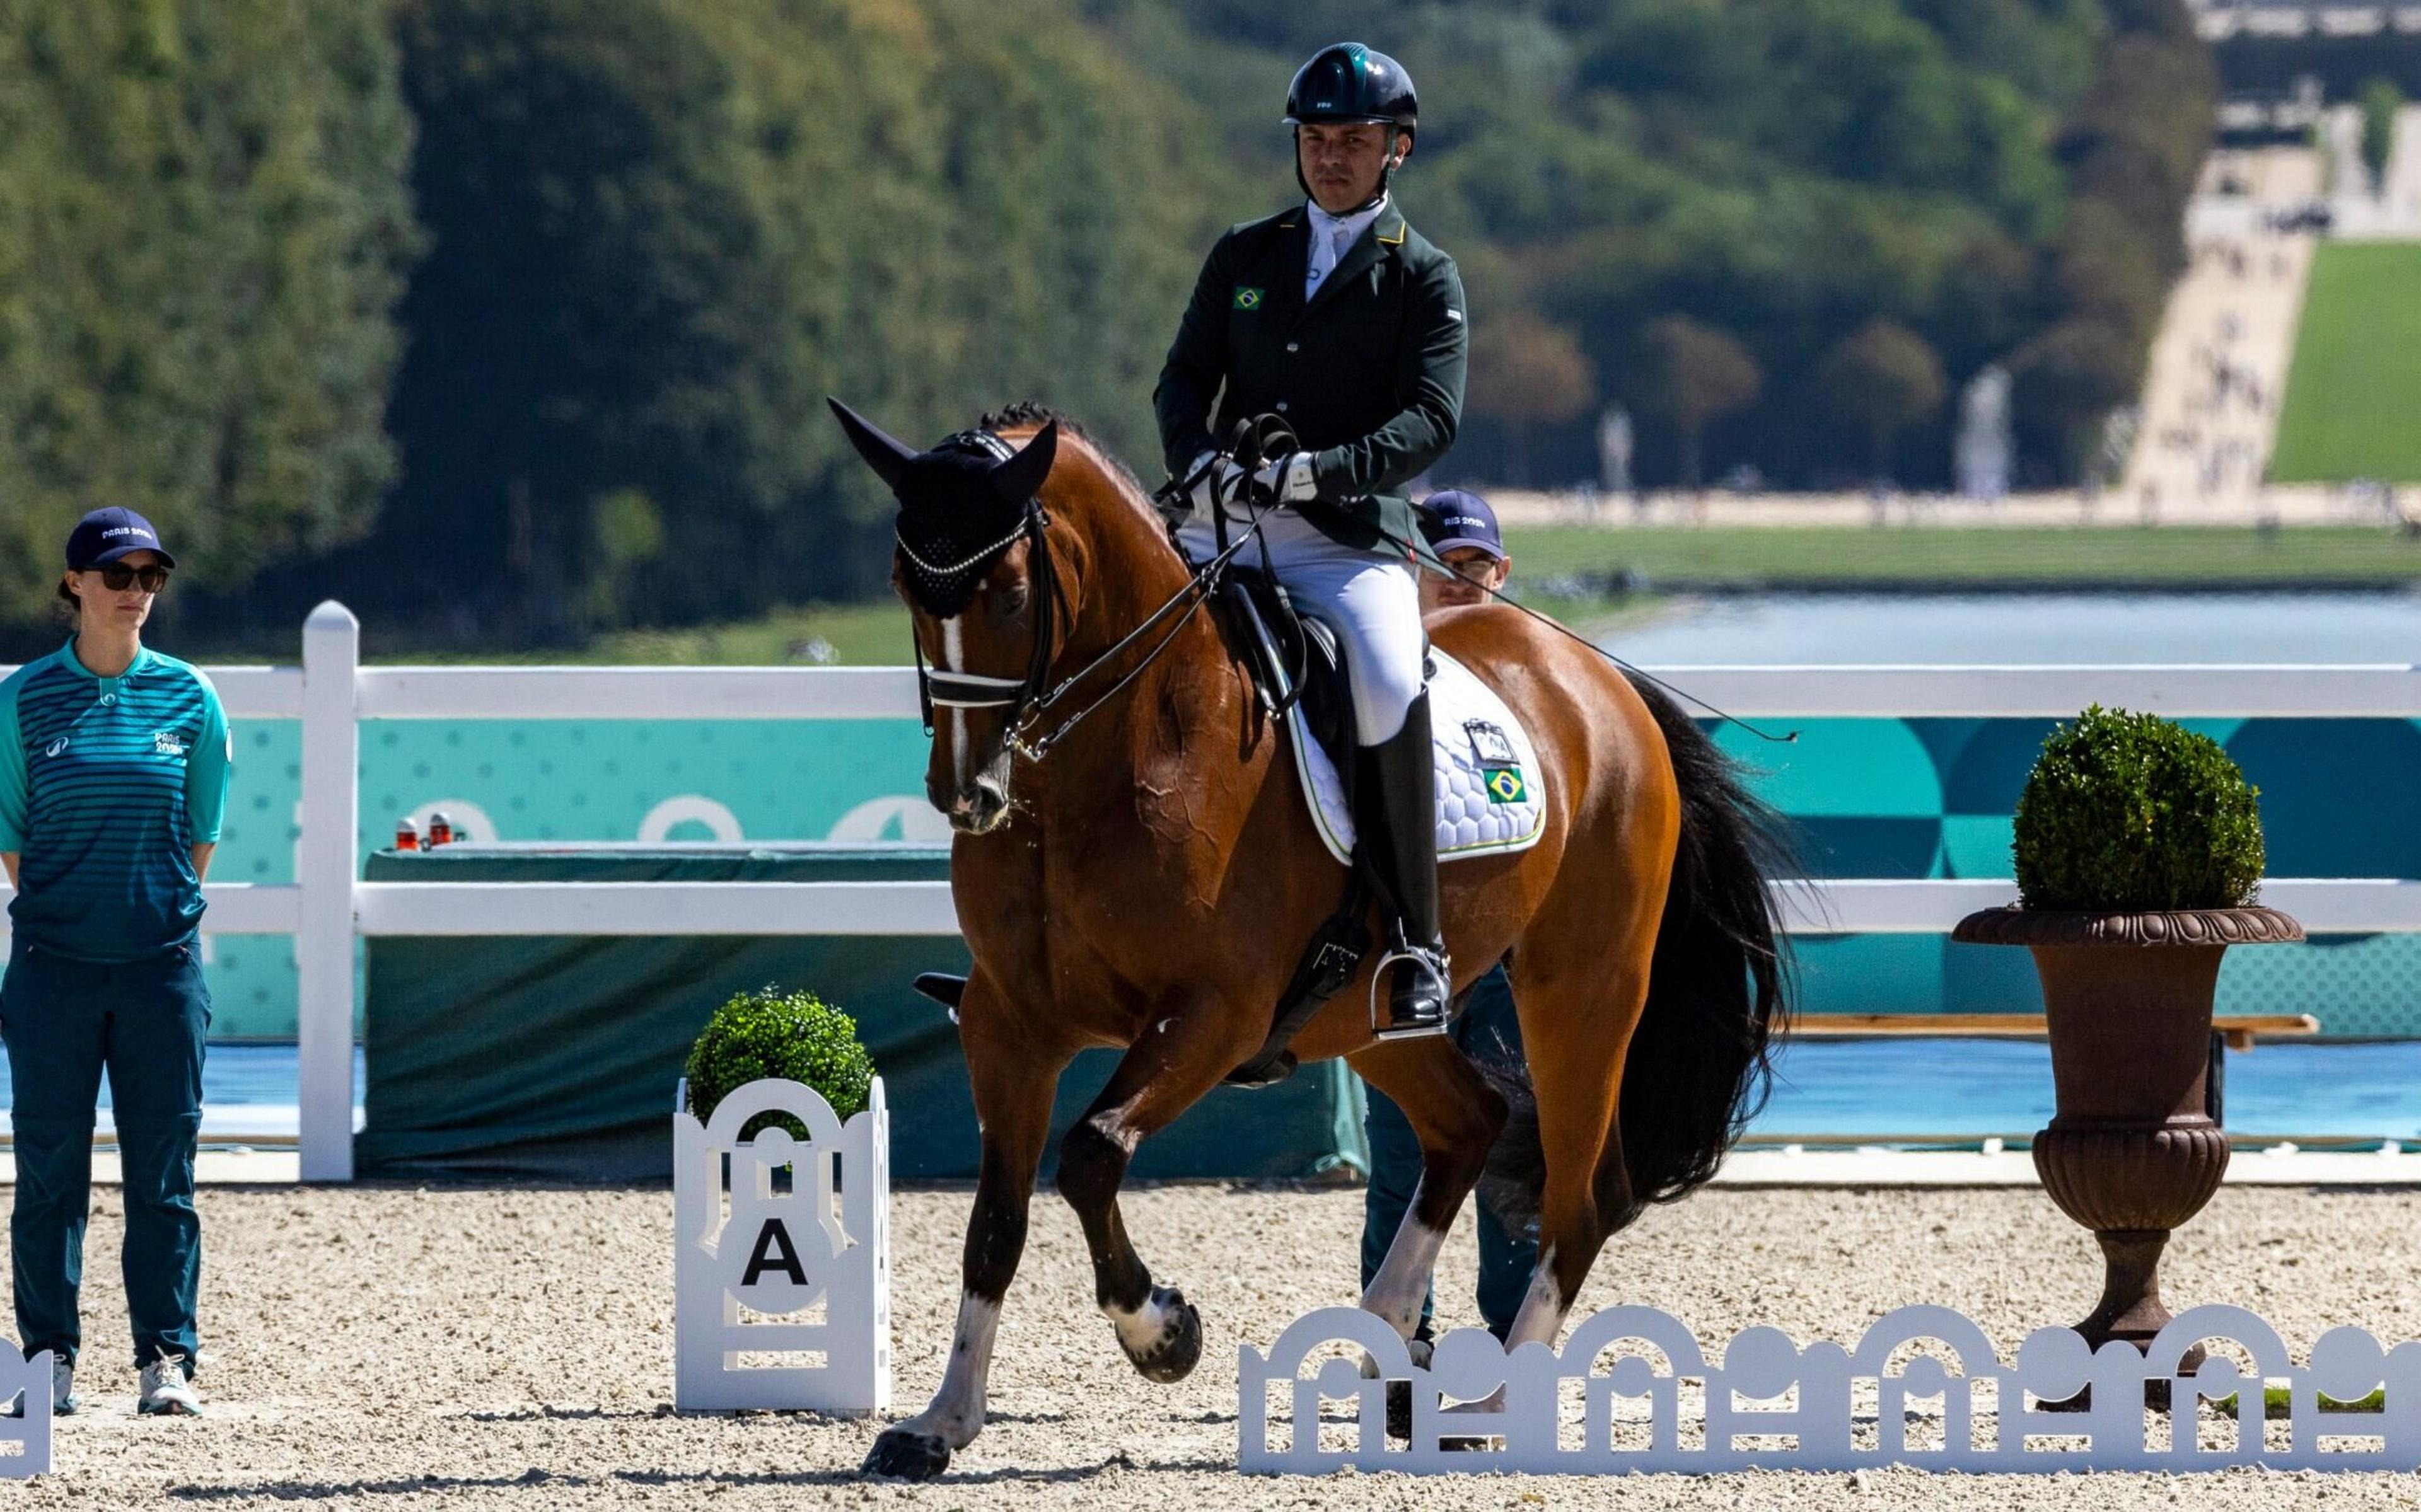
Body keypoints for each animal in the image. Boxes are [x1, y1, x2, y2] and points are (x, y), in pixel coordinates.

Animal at [823, 399, 1791, 1470]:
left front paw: (1163, 1331)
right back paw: (1384, 1333)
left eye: (1012, 592)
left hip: (1579, 987)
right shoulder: (1008, 1023)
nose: (969, 793)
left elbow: (1091, 1152)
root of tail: (1607, 682)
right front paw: (939, 1422)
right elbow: (995, 1219)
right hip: (1365, 1019)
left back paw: (1497, 1405)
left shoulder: (1215, 1014)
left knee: (1583, 1195)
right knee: (1471, 1122)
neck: (1114, 757)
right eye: (906, 584)